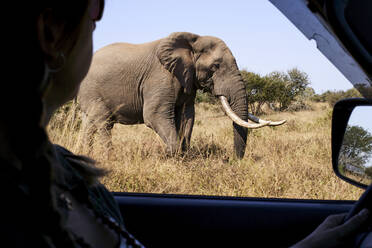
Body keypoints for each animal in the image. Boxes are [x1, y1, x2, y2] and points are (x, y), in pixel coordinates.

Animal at [77, 32, 284, 158]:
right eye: (215, 66)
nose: (235, 161)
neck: (193, 40)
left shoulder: (187, 80)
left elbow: (187, 116)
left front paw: (184, 157)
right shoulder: (159, 77)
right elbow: (154, 115)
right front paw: (172, 157)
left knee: (89, 125)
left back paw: (84, 156)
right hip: (92, 92)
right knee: (104, 123)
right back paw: (107, 159)